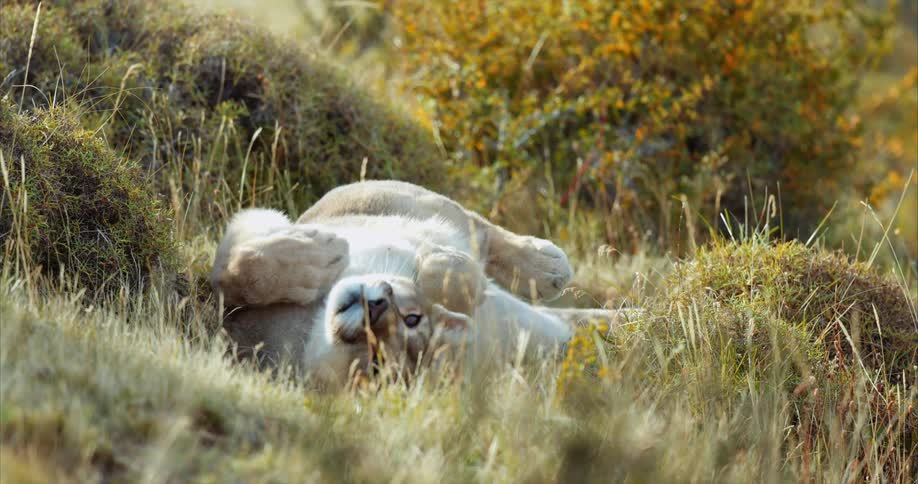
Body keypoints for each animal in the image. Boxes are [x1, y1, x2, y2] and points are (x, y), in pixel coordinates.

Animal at [210, 180, 617, 386]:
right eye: (375, 362)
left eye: (410, 319)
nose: (376, 308)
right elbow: (235, 275)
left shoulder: (257, 221)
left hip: (391, 195)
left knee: (478, 228)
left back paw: (549, 266)